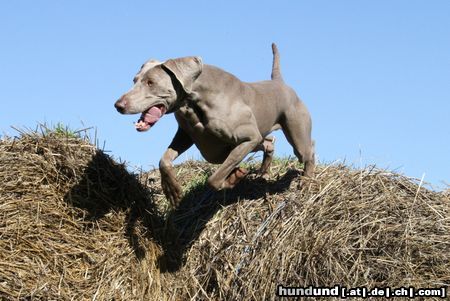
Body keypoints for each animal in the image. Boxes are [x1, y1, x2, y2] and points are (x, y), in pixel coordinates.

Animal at [114, 42, 314, 206]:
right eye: (134, 80)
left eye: (151, 82)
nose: (118, 105)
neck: (195, 100)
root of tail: (280, 82)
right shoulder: (186, 134)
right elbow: (164, 159)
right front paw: (172, 190)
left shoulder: (249, 138)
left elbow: (214, 179)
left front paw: (232, 178)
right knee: (269, 142)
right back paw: (263, 173)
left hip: (295, 132)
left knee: (307, 151)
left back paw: (307, 180)